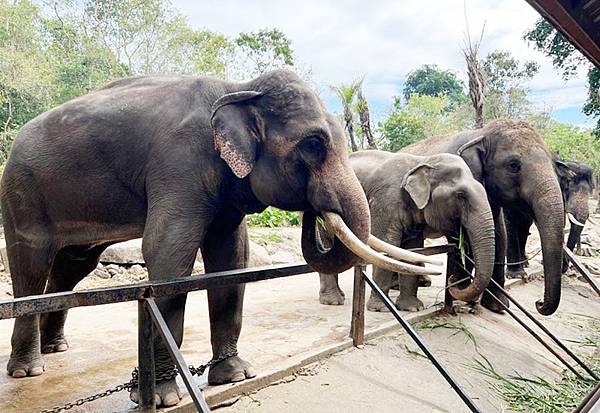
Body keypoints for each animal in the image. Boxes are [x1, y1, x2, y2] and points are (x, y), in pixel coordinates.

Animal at [318, 150, 496, 310]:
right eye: (461, 195)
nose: (452, 279)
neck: (423, 161)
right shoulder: (384, 202)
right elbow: (388, 244)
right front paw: (380, 309)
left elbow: (412, 249)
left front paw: (412, 308)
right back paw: (333, 301)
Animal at [400, 119, 564, 316]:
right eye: (513, 165)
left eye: (554, 164)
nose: (538, 303)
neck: (481, 133)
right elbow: (463, 240)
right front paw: (461, 293)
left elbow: (499, 236)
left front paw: (496, 306)